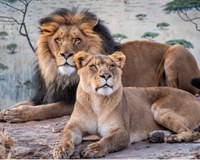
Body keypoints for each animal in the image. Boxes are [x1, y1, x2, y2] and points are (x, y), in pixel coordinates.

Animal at [0, 7, 199, 122]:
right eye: (58, 40)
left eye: (77, 40)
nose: (66, 54)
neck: (61, 75)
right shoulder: (46, 94)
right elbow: (24, 102)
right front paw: (7, 112)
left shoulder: (76, 101)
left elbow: (48, 109)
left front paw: (19, 114)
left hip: (177, 50)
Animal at [52, 51, 200, 159]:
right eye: (93, 66)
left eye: (111, 66)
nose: (106, 75)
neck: (97, 100)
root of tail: (194, 97)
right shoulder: (74, 126)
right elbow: (65, 136)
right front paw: (60, 149)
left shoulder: (121, 131)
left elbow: (108, 140)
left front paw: (93, 149)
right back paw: (157, 136)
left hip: (159, 110)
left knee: (192, 133)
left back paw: (174, 138)